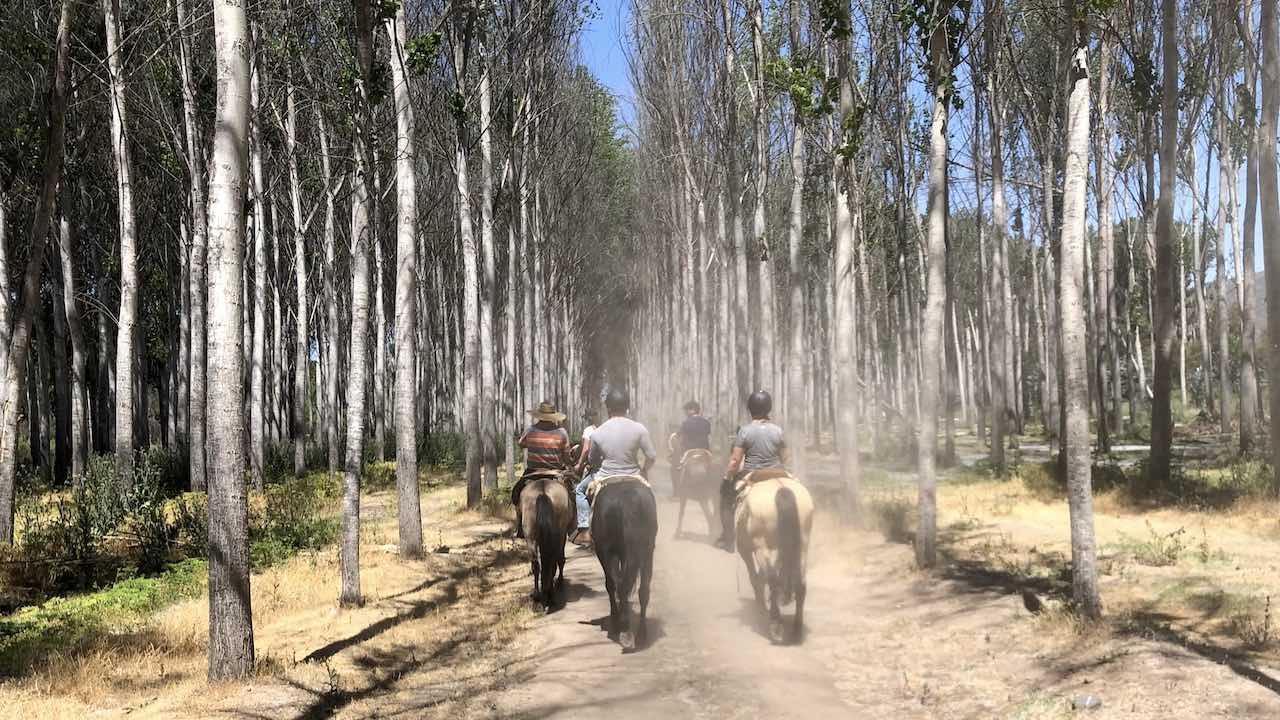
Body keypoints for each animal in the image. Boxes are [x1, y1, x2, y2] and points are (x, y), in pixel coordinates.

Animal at [522, 471, 578, 609]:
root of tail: (543, 492)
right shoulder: (562, 536)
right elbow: (560, 559)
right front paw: (560, 581)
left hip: (531, 538)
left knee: (537, 564)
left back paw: (538, 595)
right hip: (556, 536)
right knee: (552, 561)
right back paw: (550, 593)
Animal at [586, 476, 655, 650]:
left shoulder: (604, 551)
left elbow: (611, 585)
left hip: (607, 551)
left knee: (617, 585)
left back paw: (623, 628)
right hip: (647, 550)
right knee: (642, 590)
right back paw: (640, 634)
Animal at [737, 468, 814, 640]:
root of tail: (781, 489)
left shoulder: (745, 549)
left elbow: (755, 577)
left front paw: (760, 607)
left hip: (763, 547)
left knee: (772, 581)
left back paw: (775, 625)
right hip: (802, 547)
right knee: (800, 584)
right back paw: (796, 628)